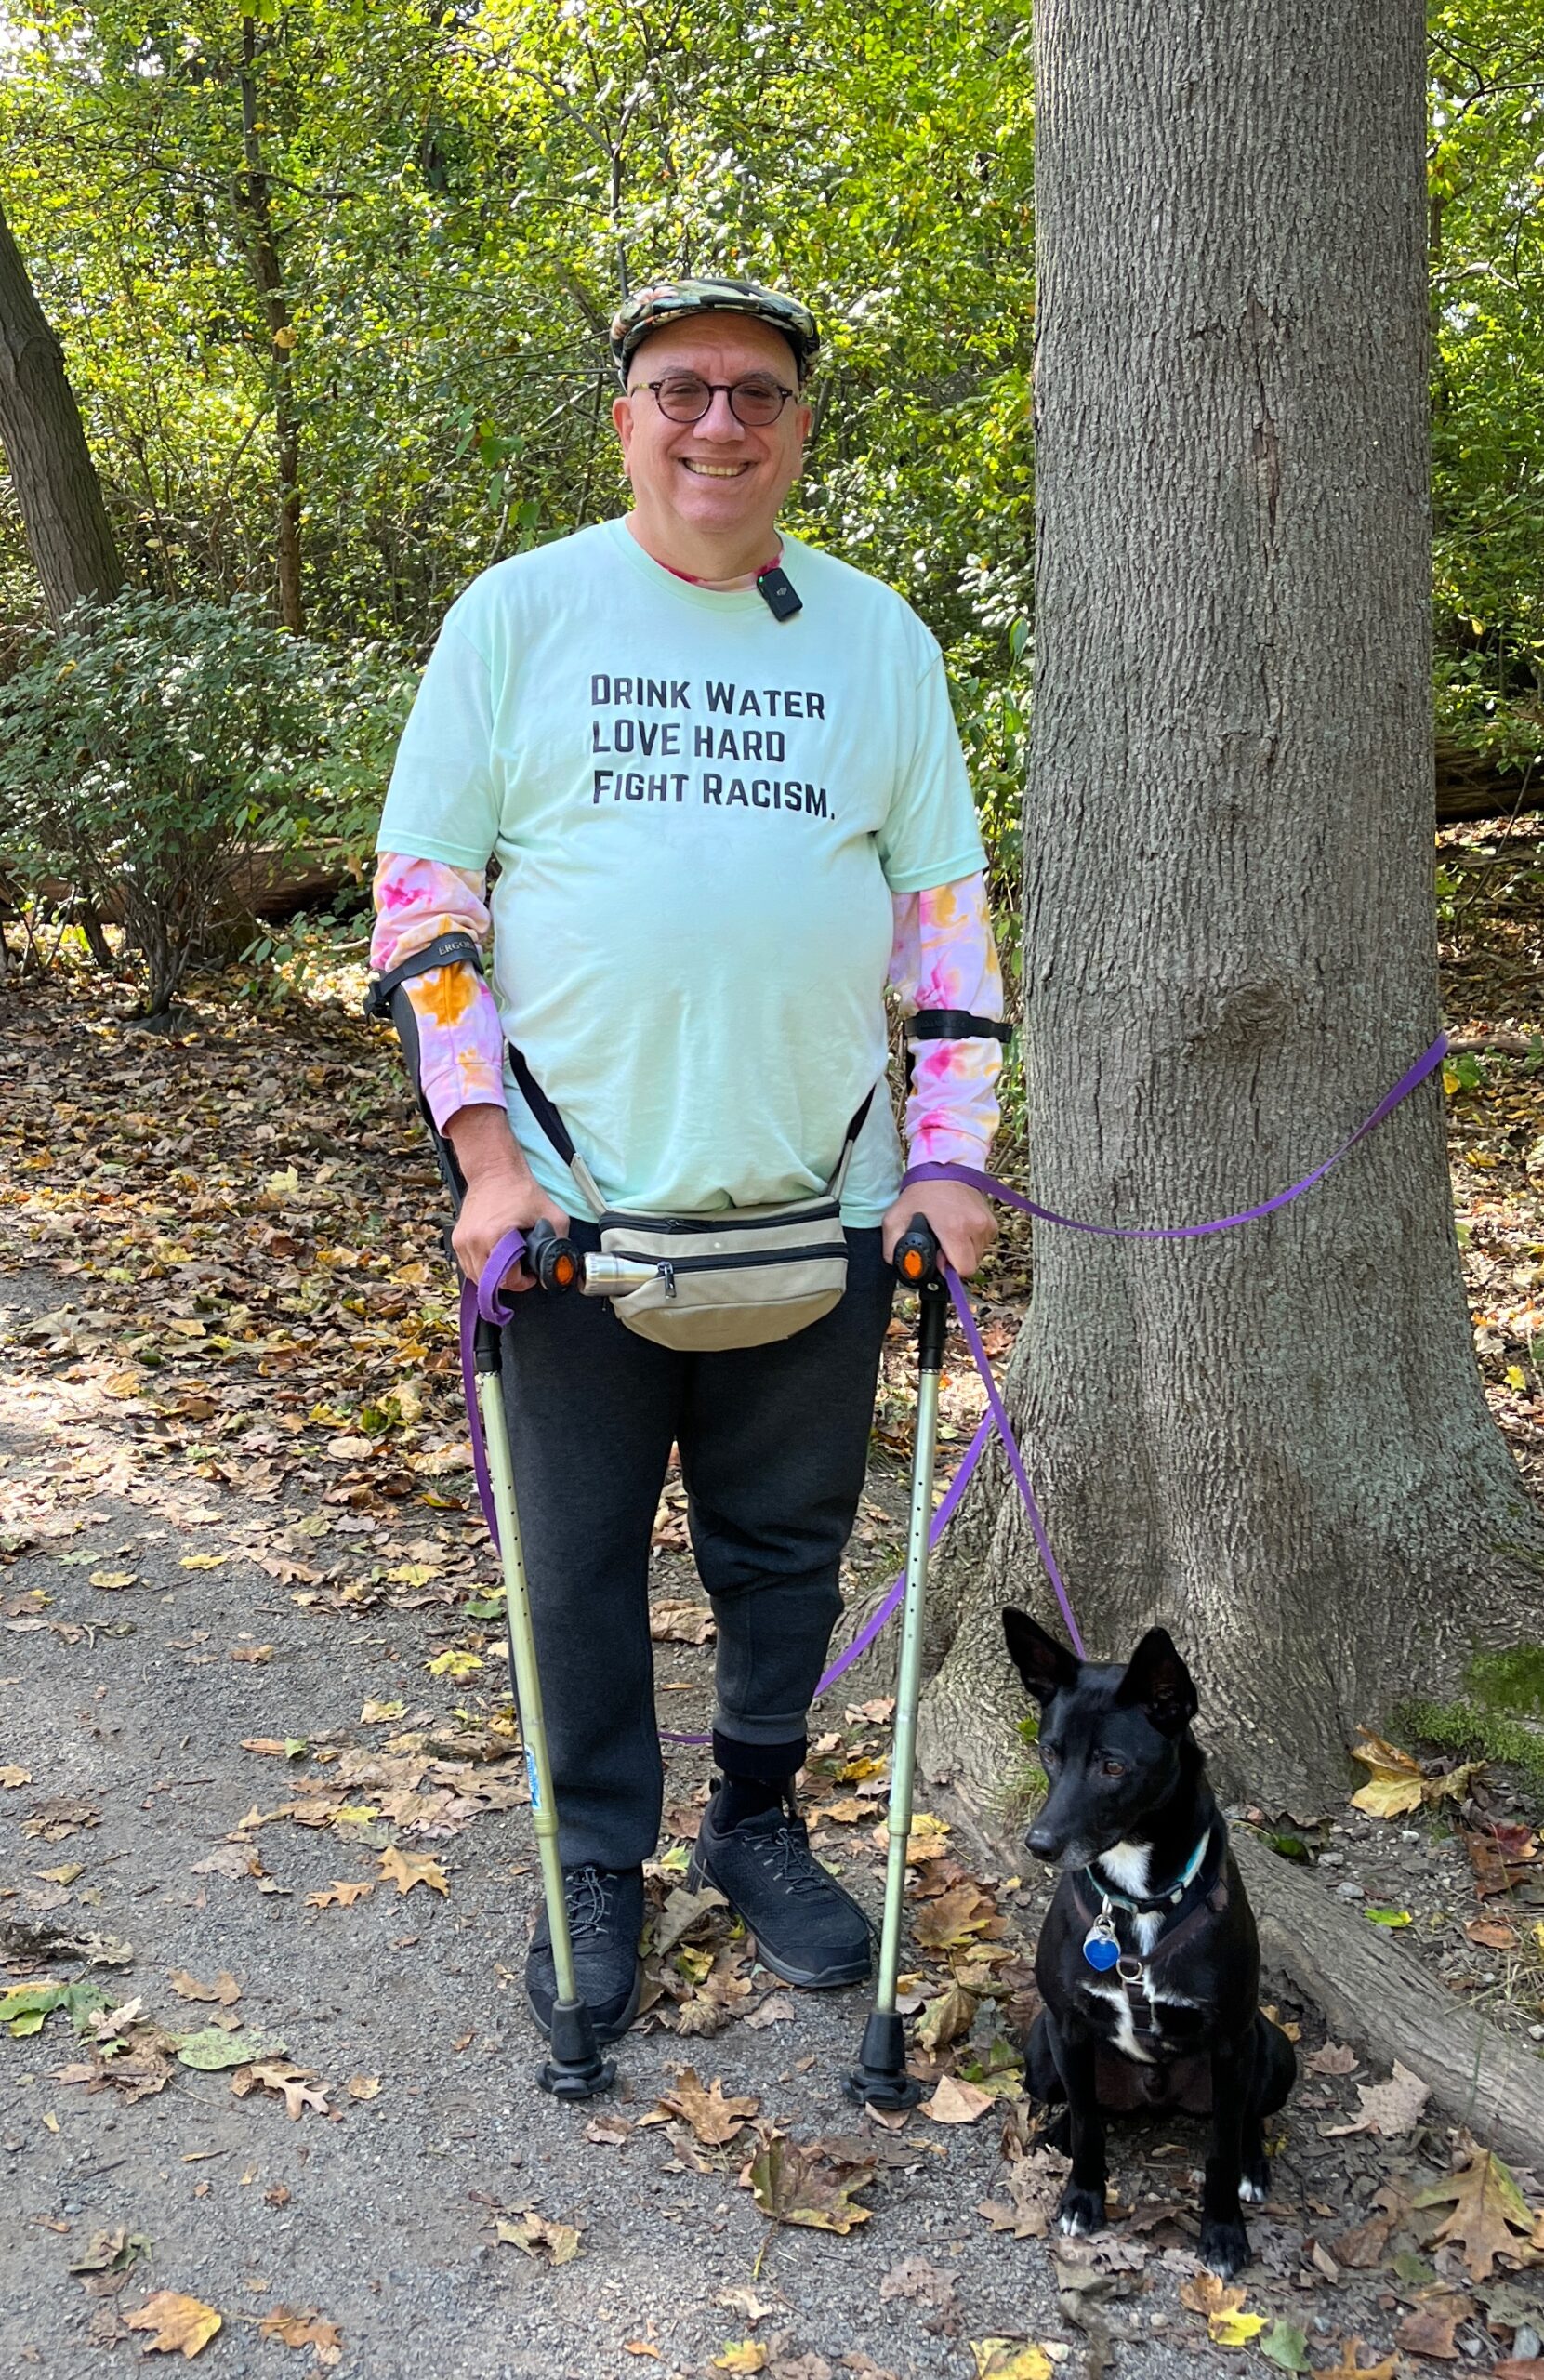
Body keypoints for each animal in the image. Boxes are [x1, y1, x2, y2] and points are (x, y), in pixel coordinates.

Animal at [1004, 1608, 1294, 2275]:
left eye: (1112, 1766)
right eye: (1048, 1752)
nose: (1039, 1845)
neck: (1134, 1901)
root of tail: (1155, 2095)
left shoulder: (1231, 2043)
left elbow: (1219, 2150)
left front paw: (1222, 2232)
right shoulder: (1067, 2027)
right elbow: (1089, 2126)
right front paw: (1082, 2196)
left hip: (1273, 2050)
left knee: (1245, 2118)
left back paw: (1254, 2165)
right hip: (1039, 2051)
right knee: (1078, 2104)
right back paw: (1056, 2132)